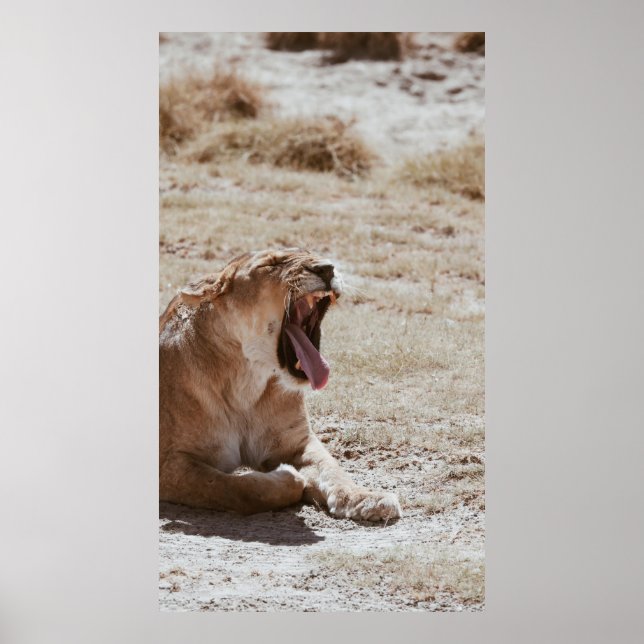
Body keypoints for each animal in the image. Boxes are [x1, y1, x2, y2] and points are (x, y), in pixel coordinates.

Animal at [159, 248, 402, 522]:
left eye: (312, 253)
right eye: (271, 264)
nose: (327, 268)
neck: (247, 383)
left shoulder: (298, 443)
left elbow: (333, 469)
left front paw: (365, 498)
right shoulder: (169, 464)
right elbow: (235, 489)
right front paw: (288, 477)